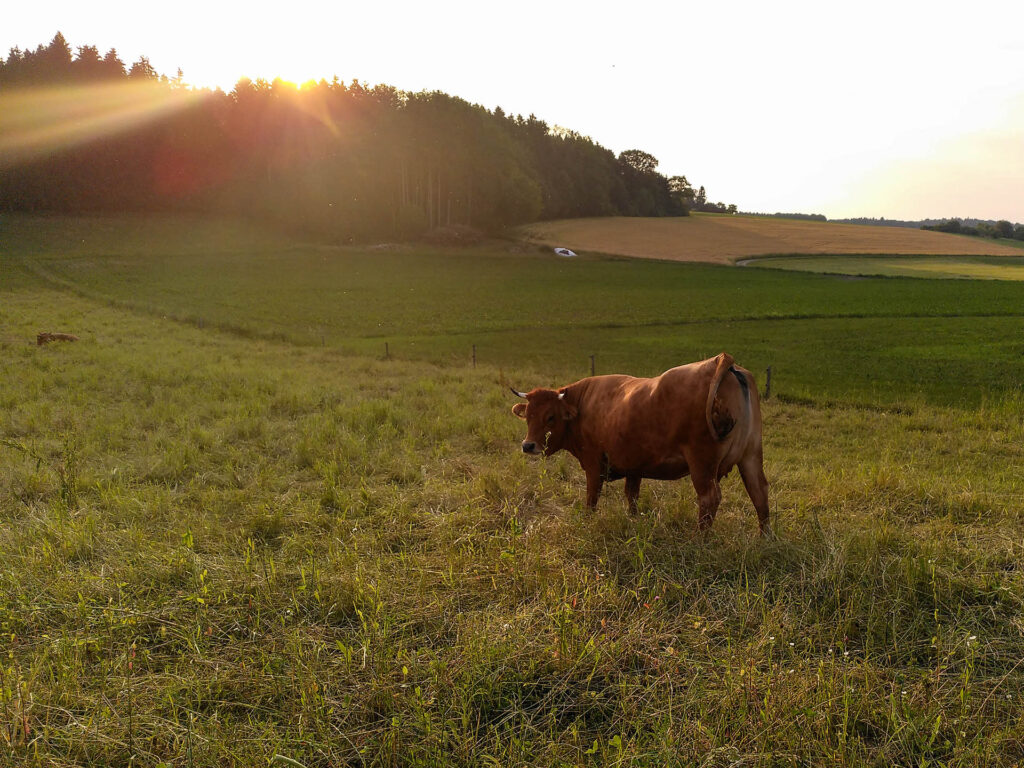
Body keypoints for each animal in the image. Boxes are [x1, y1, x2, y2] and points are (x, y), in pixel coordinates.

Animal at [511, 352, 771, 536]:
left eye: (550, 417)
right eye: (529, 416)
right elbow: (632, 497)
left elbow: (591, 499)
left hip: (702, 463)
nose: (528, 445)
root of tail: (720, 361)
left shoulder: (594, 464)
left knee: (709, 498)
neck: (583, 404)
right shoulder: (633, 466)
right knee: (759, 492)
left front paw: (587, 523)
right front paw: (633, 521)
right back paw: (765, 538)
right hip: (751, 456)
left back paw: (700, 540)